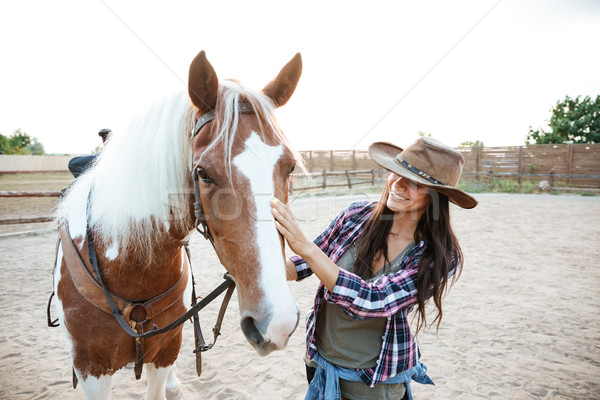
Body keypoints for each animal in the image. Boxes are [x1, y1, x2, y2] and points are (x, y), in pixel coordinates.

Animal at [54, 50, 302, 400]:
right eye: (203, 173)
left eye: (290, 166)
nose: (276, 320)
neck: (129, 270)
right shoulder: (90, 368)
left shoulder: (164, 350)